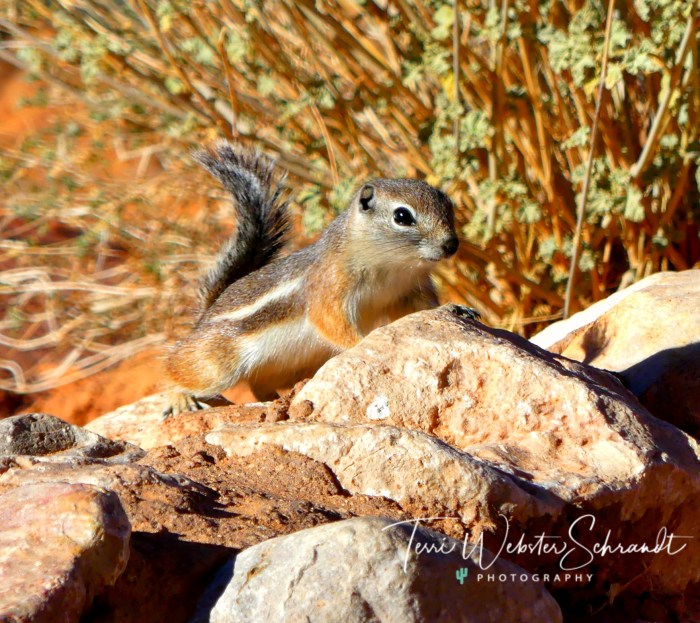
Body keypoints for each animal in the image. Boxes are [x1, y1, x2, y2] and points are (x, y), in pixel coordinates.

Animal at [163, 141, 460, 416]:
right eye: (402, 216)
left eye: (449, 207)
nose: (451, 245)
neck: (392, 266)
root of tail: (204, 317)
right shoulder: (328, 287)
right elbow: (329, 320)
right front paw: (362, 343)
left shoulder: (410, 291)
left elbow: (422, 311)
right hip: (217, 363)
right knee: (177, 368)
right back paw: (179, 397)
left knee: (259, 388)